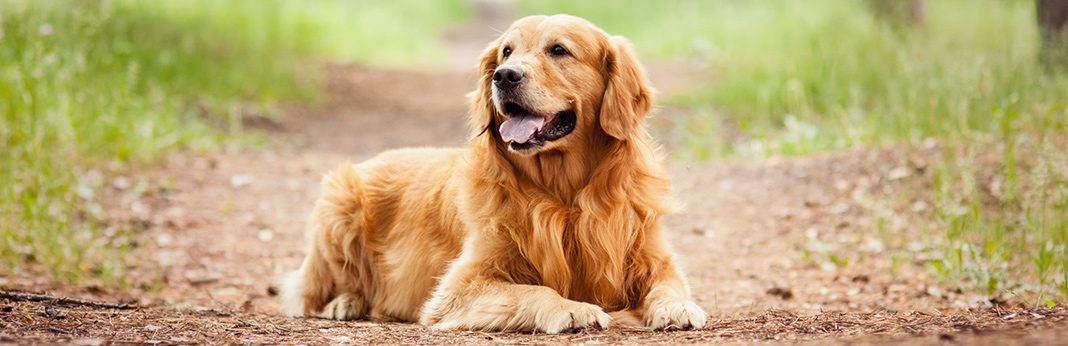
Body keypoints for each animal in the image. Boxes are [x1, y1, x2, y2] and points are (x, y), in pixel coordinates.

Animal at [279, 14, 704, 333]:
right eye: (506, 51)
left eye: (559, 50)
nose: (505, 75)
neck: (564, 196)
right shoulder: (459, 285)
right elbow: (530, 290)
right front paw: (571, 308)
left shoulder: (652, 256)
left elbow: (668, 285)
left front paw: (678, 306)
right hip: (338, 204)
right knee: (314, 291)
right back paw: (345, 302)